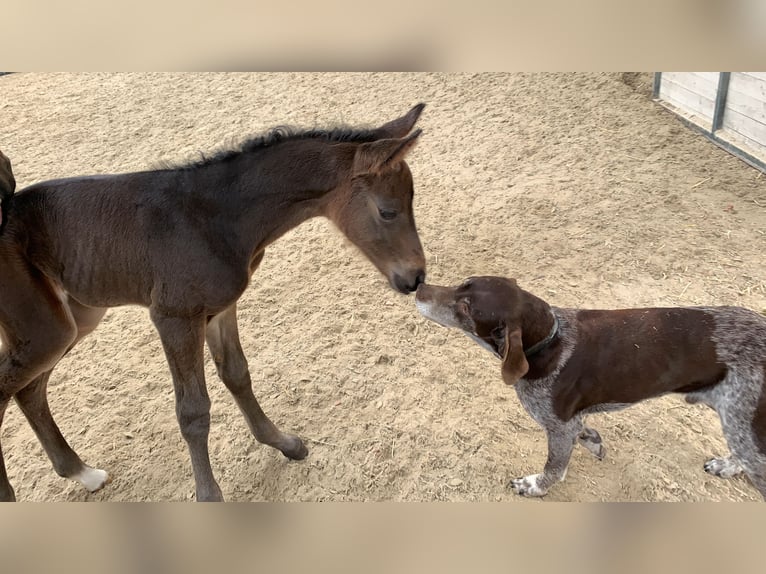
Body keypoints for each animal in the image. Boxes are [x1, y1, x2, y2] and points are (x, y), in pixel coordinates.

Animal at [0, 103, 428, 500]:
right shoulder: (173, 316)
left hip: (76, 318)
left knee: (28, 392)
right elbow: (193, 411)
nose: (416, 278)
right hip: (46, 330)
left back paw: (82, 473)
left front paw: (284, 443)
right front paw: (210, 496)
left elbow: (237, 374)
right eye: (388, 211)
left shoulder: (220, 309)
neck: (215, 218)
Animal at [416, 276, 766, 502]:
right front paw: (592, 440)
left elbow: (553, 468)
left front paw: (535, 486)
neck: (550, 342)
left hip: (744, 423)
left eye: (466, 307)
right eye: (462, 284)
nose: (418, 288)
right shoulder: (568, 423)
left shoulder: (557, 427)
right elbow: (583, 431)